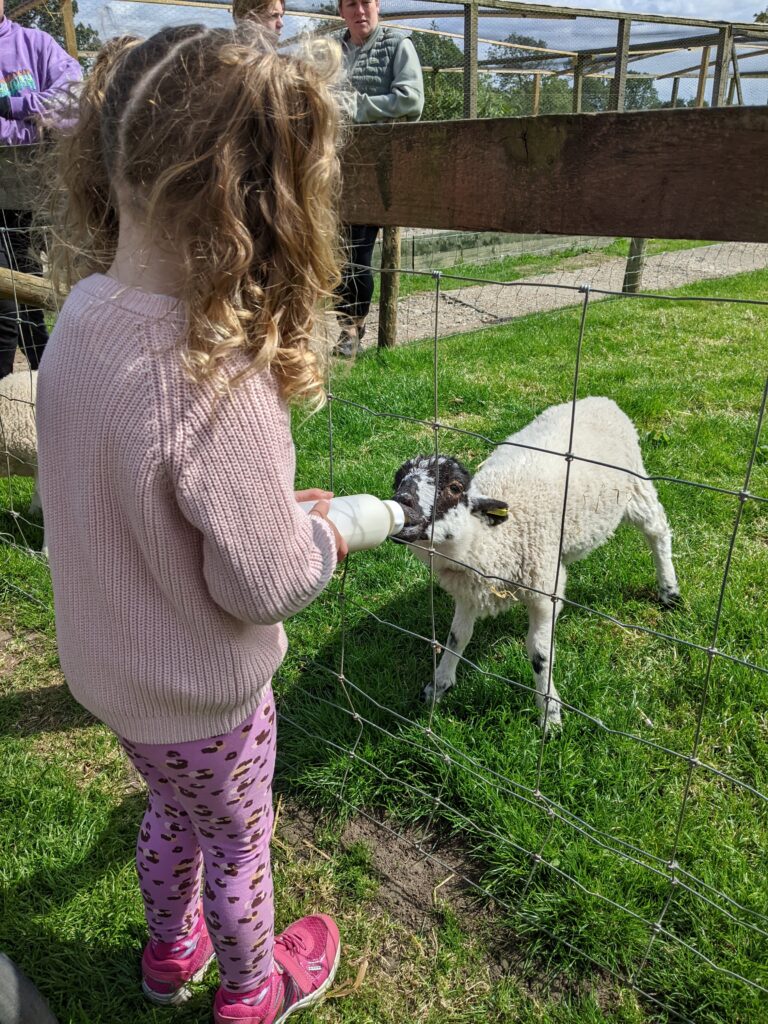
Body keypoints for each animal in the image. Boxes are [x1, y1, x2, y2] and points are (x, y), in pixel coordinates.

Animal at [392, 397, 680, 729]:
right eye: (397, 480)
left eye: (454, 487)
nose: (401, 502)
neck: (491, 538)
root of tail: (600, 399)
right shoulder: (470, 590)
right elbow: (456, 638)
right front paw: (438, 686)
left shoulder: (542, 593)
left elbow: (540, 653)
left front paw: (549, 715)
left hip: (636, 485)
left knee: (658, 530)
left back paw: (669, 591)